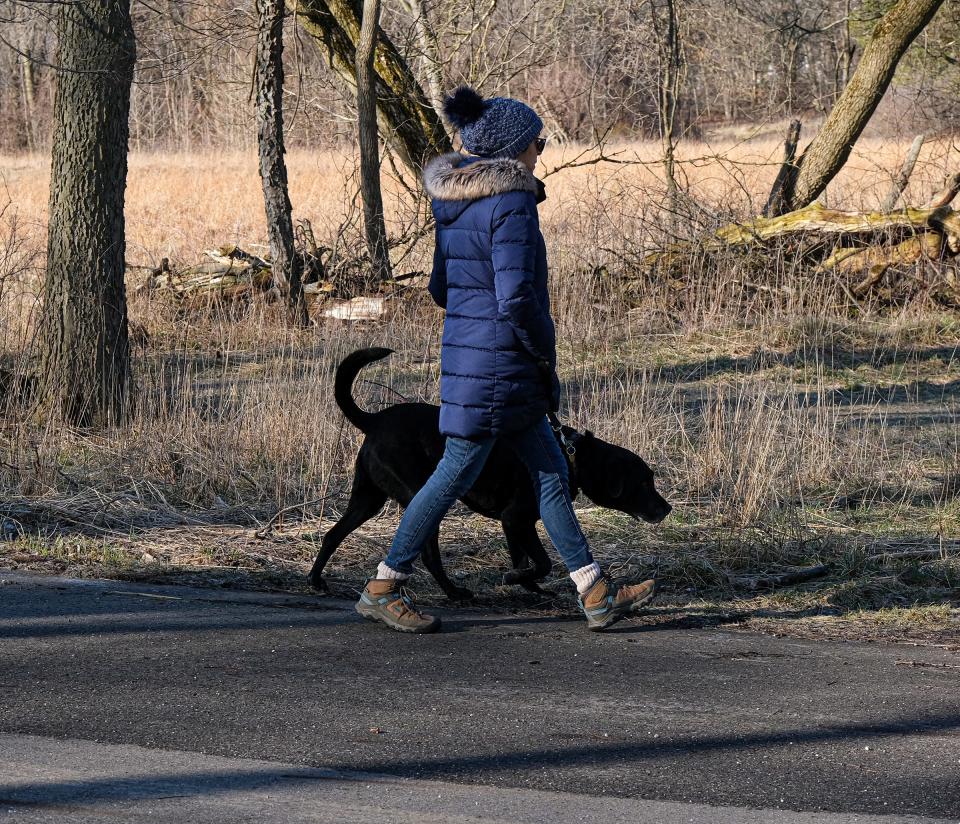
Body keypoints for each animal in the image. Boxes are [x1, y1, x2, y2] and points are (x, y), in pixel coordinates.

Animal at [312, 348, 672, 600]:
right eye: (644, 482)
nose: (667, 508)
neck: (572, 456)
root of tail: (374, 420)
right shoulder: (517, 519)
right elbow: (540, 562)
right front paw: (516, 580)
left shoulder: (514, 525)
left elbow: (523, 560)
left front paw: (531, 589)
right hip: (420, 495)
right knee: (428, 552)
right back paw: (454, 593)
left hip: (367, 499)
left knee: (333, 534)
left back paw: (316, 581)